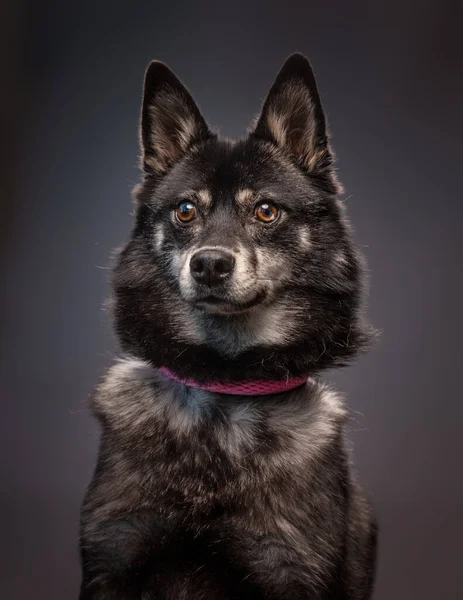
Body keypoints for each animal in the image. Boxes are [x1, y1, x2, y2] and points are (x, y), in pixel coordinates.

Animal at [79, 52, 376, 600]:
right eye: (185, 210)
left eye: (266, 210)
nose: (210, 265)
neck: (223, 388)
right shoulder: (115, 552)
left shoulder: (287, 566)